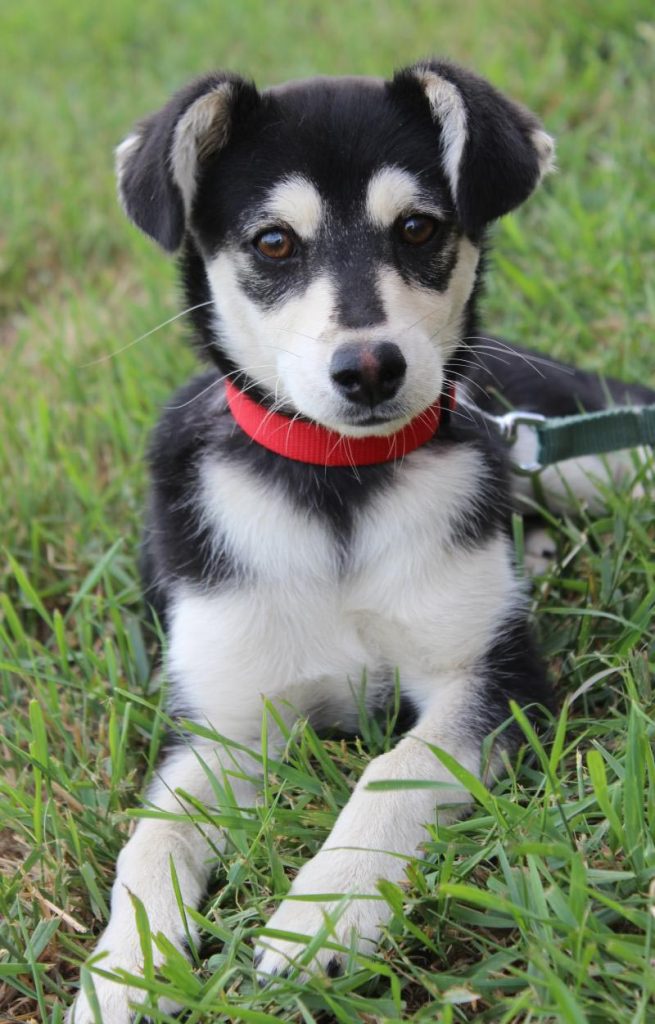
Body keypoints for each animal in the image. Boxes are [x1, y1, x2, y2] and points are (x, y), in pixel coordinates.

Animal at [70, 61, 650, 1024]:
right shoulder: (221, 729)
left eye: (417, 228)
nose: (370, 366)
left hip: (589, 455)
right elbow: (147, 846)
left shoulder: (493, 681)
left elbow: (395, 768)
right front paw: (123, 977)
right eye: (272, 243)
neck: (339, 488)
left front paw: (321, 917)